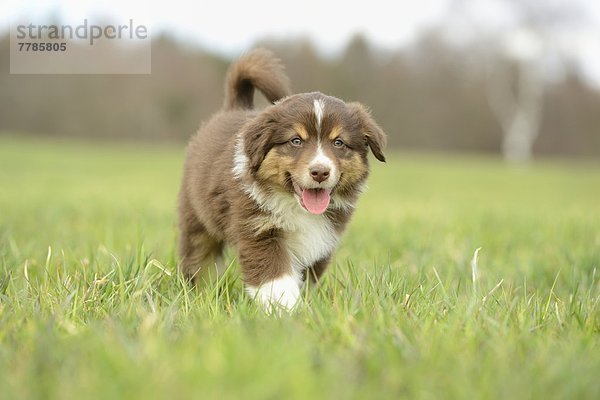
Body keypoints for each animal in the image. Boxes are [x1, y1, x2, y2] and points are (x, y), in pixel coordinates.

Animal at [178, 49, 386, 312]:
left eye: (339, 143)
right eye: (296, 141)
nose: (320, 172)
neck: (296, 206)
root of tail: (233, 108)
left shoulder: (322, 240)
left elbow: (305, 279)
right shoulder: (259, 229)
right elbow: (276, 279)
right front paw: (285, 311)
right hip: (197, 219)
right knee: (199, 258)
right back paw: (199, 292)